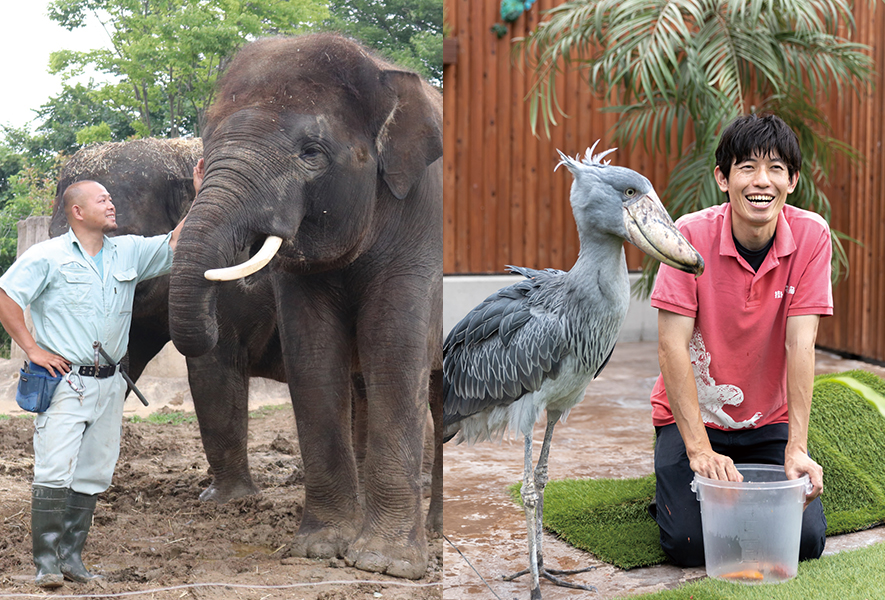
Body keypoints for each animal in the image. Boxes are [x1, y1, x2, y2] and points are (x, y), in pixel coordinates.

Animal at [167, 34, 442, 580]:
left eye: (311, 153)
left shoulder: (423, 220)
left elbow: (394, 348)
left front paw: (385, 564)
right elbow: (313, 356)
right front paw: (320, 549)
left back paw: (440, 529)